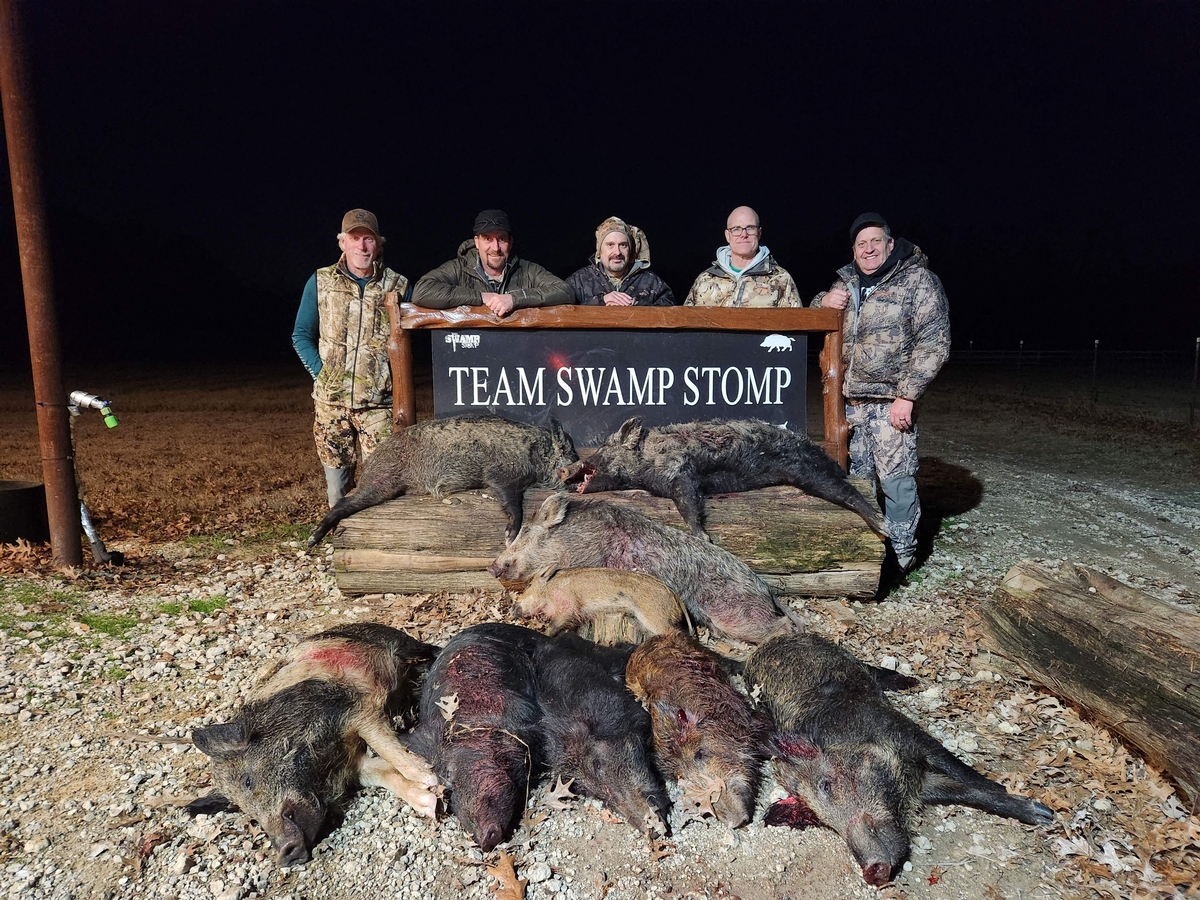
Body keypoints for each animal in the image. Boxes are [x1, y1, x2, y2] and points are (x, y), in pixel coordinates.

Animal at [188, 623, 439, 866]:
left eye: (247, 781)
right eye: (244, 810)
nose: (285, 856)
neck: (321, 767)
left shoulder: (353, 708)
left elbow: (384, 745)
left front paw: (428, 777)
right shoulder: (355, 767)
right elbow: (386, 775)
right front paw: (431, 804)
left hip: (398, 641)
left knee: (424, 649)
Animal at [308, 414, 578, 547]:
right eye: (570, 455)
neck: (535, 456)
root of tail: (373, 458)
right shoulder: (500, 474)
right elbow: (512, 503)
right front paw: (509, 538)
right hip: (380, 481)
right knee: (343, 503)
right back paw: (313, 540)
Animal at [513, 567, 693, 637]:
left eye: (529, 585)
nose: (512, 609)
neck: (550, 589)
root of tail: (677, 600)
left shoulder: (569, 606)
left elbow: (554, 625)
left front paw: (545, 634)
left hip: (654, 616)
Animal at [560, 417, 887, 542]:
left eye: (604, 447)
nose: (564, 469)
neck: (644, 464)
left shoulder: (680, 469)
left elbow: (688, 501)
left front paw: (702, 538)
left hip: (805, 469)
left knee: (843, 488)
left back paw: (883, 526)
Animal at [745, 633, 1054, 887]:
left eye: (826, 785)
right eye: (817, 817)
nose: (872, 870)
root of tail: (765, 645)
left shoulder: (907, 733)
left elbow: (962, 773)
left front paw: (1044, 815)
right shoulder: (924, 784)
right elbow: (964, 792)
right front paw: (1042, 815)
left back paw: (910, 681)